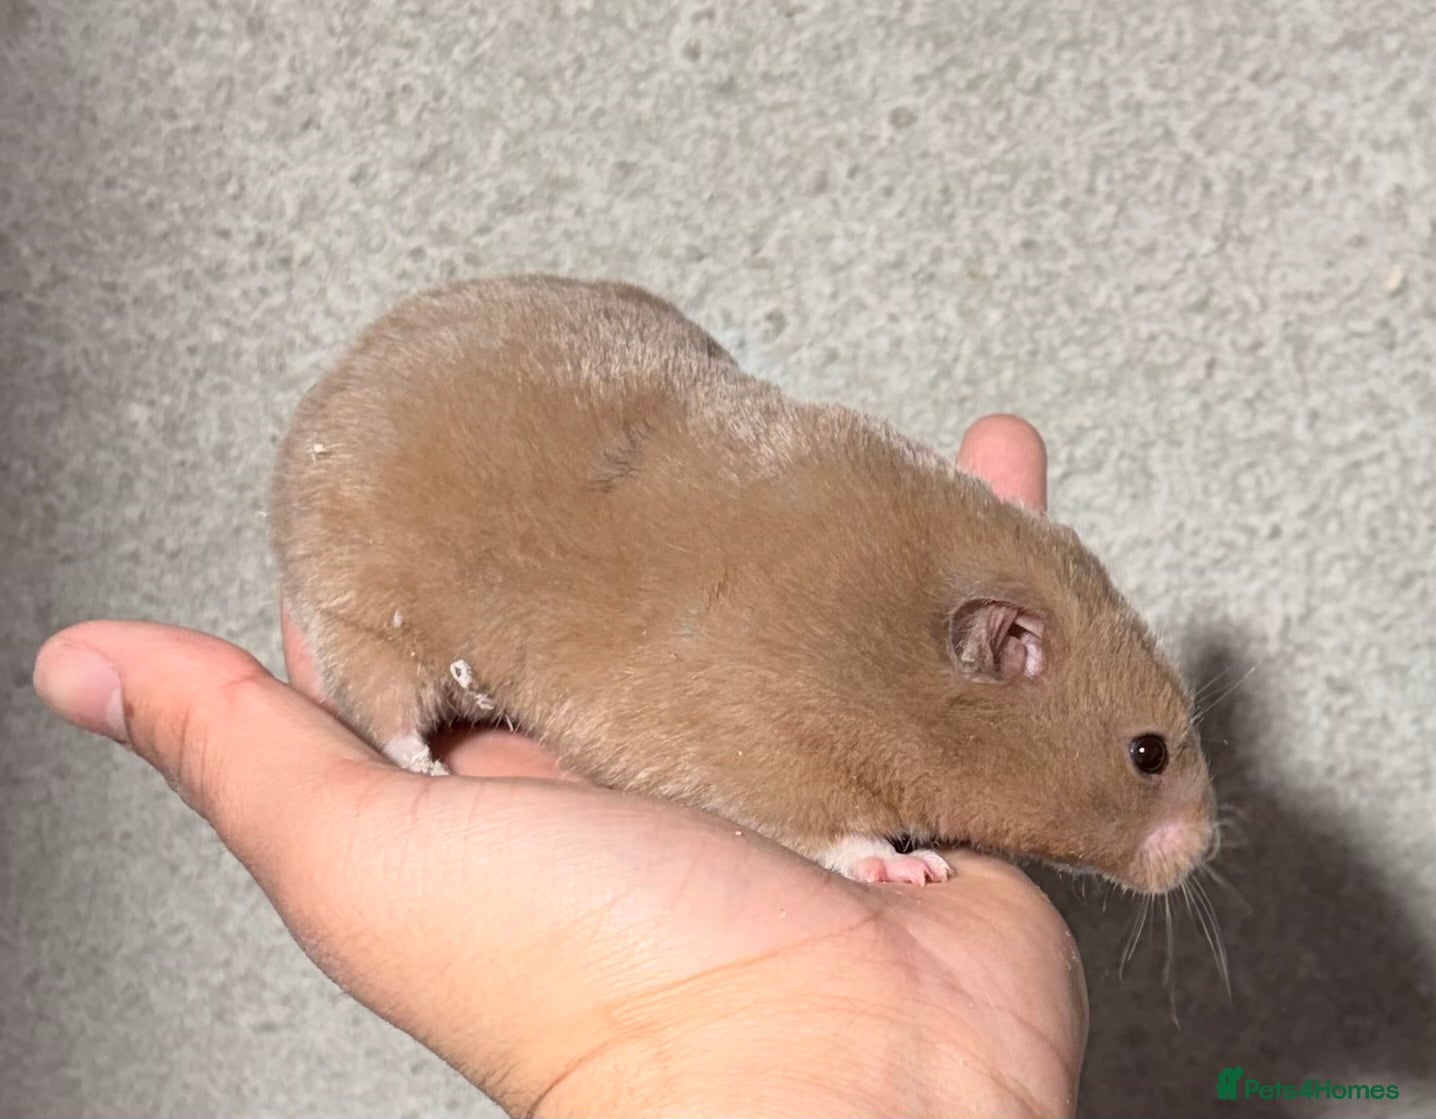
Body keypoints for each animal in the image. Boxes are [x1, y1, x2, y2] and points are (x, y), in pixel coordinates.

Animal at [270, 276, 1215, 893]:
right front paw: (916, 867)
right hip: (365, 609)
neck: (883, 654)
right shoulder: (767, 751)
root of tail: (313, 411)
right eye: (1148, 752)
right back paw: (433, 767)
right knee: (385, 703)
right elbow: (831, 832)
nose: (1206, 846)